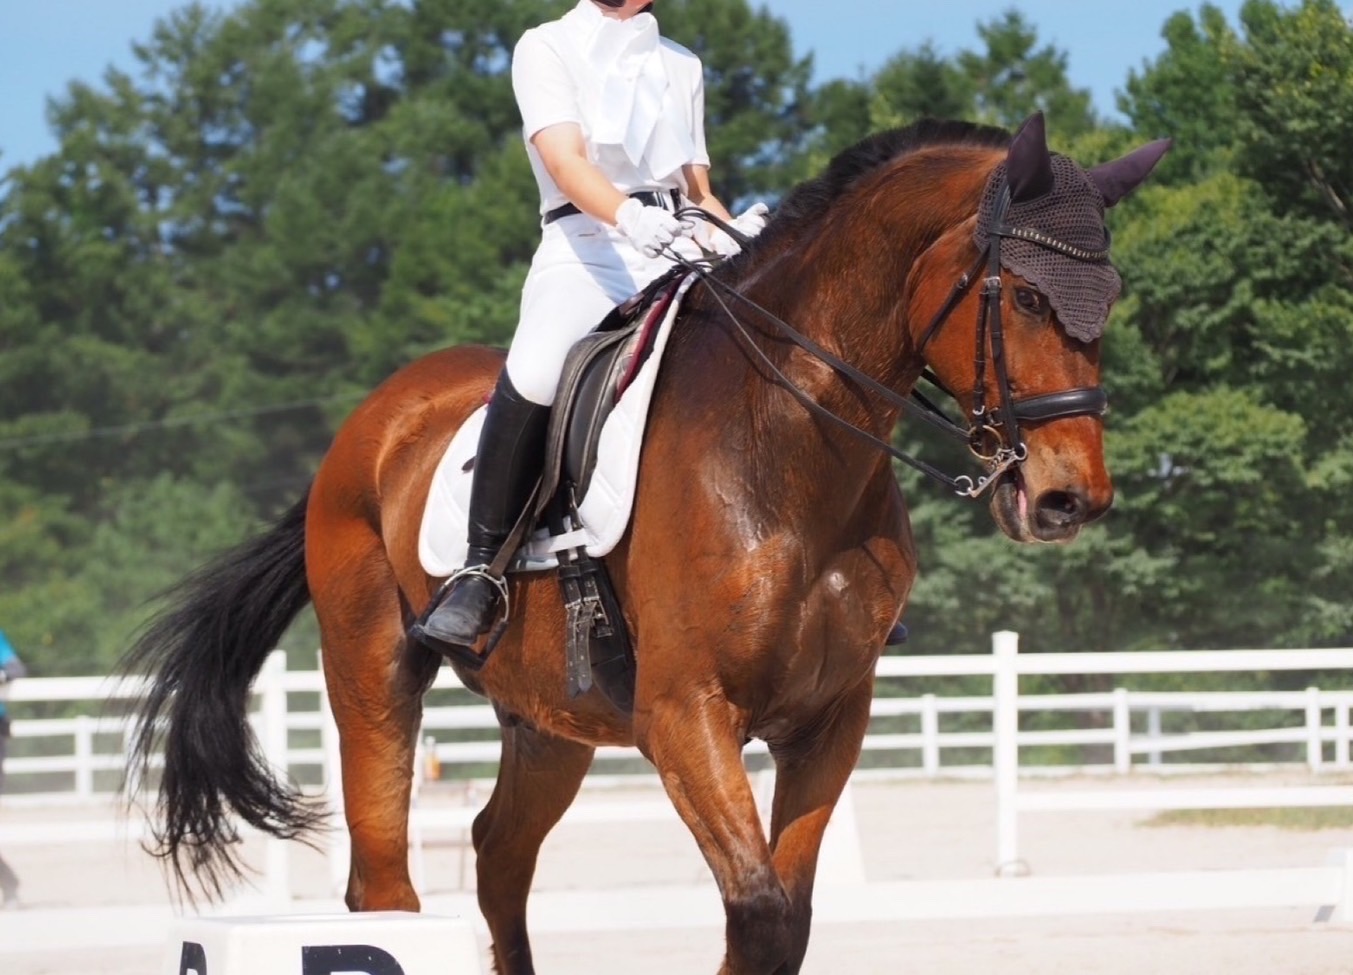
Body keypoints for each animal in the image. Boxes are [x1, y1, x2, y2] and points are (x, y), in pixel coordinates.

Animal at [125, 113, 1168, 974]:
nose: (1068, 497)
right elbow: (758, 911)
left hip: (548, 719)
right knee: (384, 879)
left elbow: (787, 915)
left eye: (1112, 294)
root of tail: (370, 421)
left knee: (499, 855)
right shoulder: (684, 713)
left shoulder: (830, 718)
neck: (788, 443)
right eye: (1023, 297)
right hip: (373, 671)